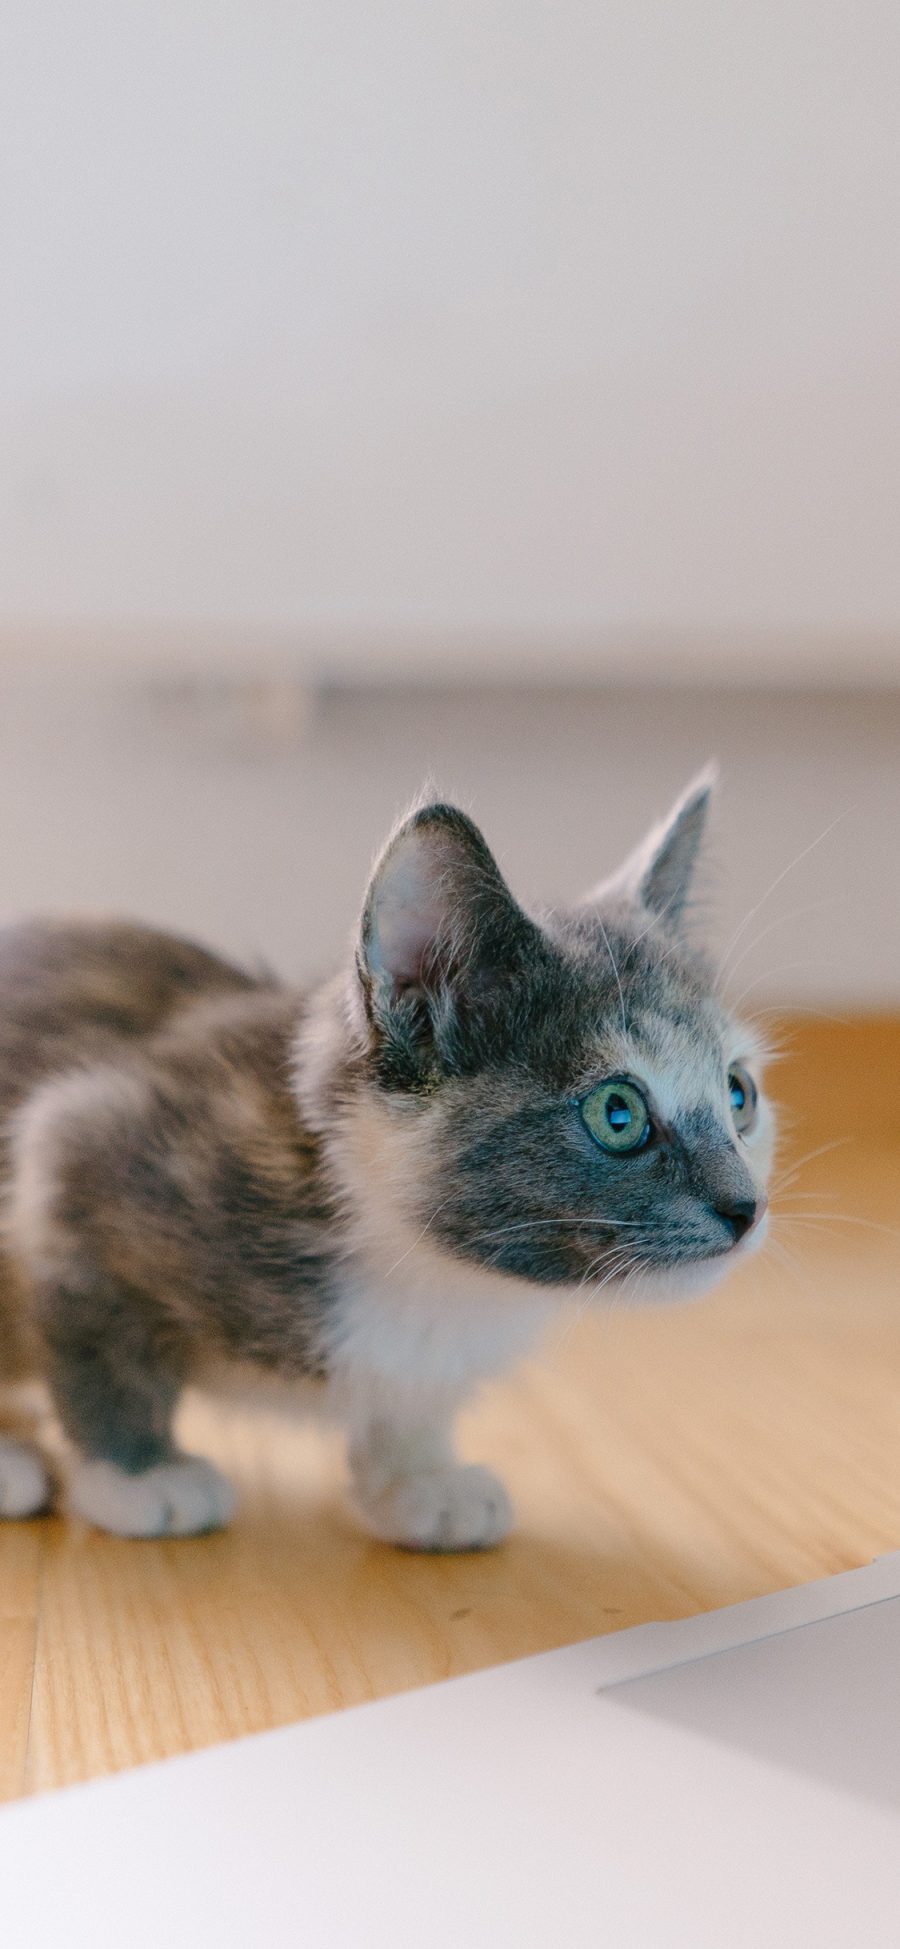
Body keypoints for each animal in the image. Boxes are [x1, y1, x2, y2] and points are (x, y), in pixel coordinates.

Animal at [0, 767, 775, 1543]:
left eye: (738, 1093)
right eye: (618, 1114)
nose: (747, 1206)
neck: (434, 1276)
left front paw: (418, 1478)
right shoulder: (83, 1145)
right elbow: (100, 1341)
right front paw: (139, 1473)